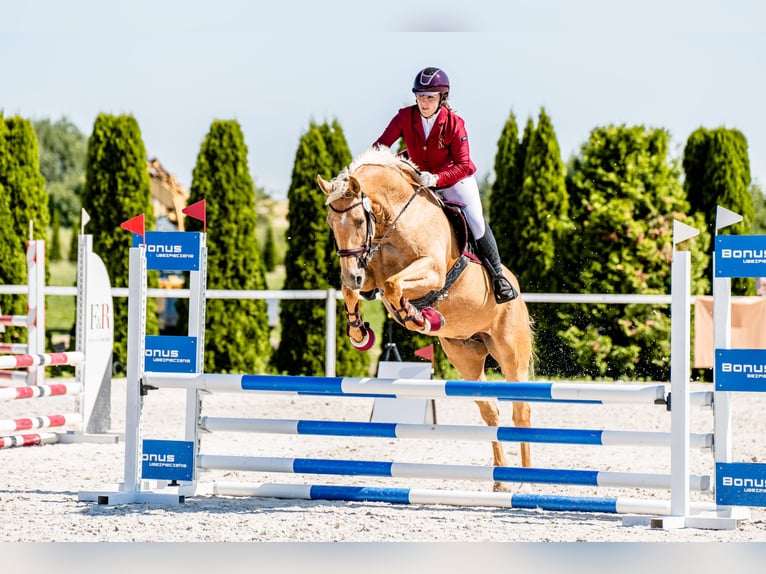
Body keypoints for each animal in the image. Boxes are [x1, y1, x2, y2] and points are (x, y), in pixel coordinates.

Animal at [318, 147, 536, 490]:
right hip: (465, 355)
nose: (352, 273)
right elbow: (357, 290)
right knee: (490, 410)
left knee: (521, 408)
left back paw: (525, 482)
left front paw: (416, 316)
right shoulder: (370, 276)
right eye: (330, 222)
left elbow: (394, 285)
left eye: (358, 220)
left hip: (510, 351)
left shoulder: (431, 271)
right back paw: (501, 481)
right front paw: (359, 332)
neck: (393, 220)